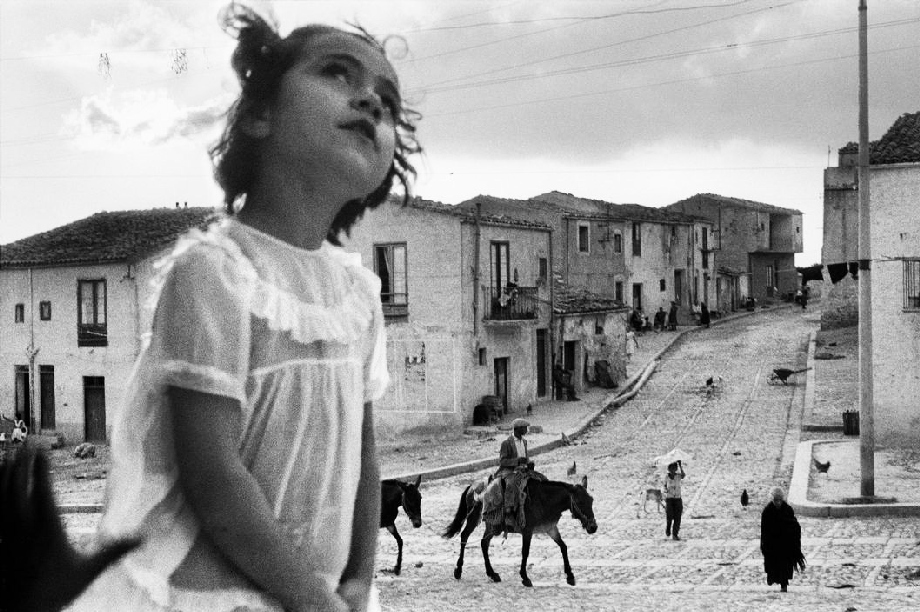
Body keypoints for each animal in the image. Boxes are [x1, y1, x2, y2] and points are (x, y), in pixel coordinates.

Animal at [443, 474, 597, 587]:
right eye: (580, 502)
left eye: (591, 500)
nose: (593, 528)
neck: (544, 500)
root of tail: (472, 485)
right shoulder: (527, 531)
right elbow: (525, 552)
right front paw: (525, 577)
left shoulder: (550, 528)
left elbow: (563, 547)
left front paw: (570, 576)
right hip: (475, 518)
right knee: (465, 536)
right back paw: (458, 570)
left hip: (492, 525)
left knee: (483, 543)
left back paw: (492, 574)